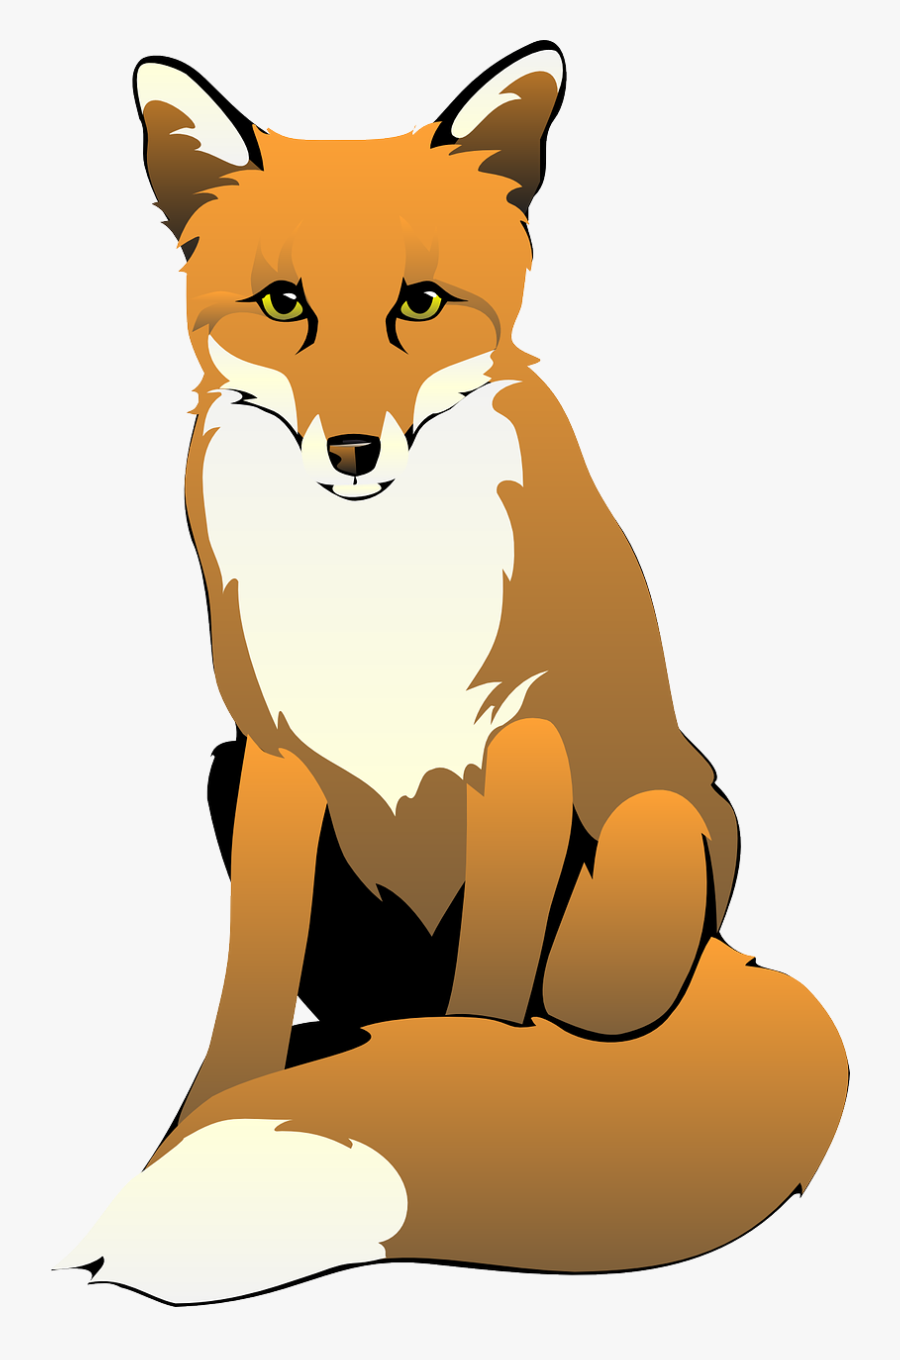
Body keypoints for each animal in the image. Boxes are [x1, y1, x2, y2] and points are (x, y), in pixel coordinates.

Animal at [57, 42, 847, 1305]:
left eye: (419, 304)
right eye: (284, 305)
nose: (352, 451)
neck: (375, 587)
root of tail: (739, 955)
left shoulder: (519, 751)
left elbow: (484, 1009)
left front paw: (473, 1104)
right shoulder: (269, 754)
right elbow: (244, 997)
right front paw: (195, 1121)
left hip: (646, 858)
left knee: (539, 1005)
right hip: (224, 777)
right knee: (367, 1020)